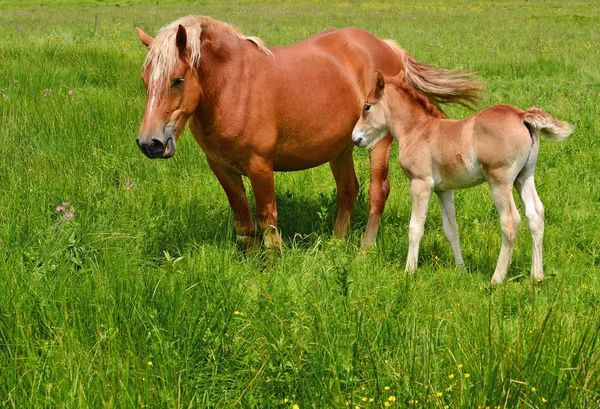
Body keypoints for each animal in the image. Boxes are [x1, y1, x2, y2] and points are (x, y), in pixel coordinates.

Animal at [135, 15, 482, 249]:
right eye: (145, 79)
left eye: (178, 79)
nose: (150, 143)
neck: (234, 84)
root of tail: (387, 47)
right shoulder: (221, 167)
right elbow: (243, 219)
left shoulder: (260, 166)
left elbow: (267, 217)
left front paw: (271, 265)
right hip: (341, 148)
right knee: (348, 190)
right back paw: (336, 243)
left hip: (379, 142)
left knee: (377, 191)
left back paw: (365, 249)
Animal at [354, 70, 576, 282]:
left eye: (367, 106)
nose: (356, 138)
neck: (417, 130)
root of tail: (521, 115)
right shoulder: (444, 190)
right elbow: (451, 229)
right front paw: (461, 270)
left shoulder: (421, 184)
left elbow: (415, 228)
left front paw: (409, 271)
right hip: (524, 176)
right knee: (535, 214)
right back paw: (537, 276)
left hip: (500, 180)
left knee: (510, 220)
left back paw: (497, 278)